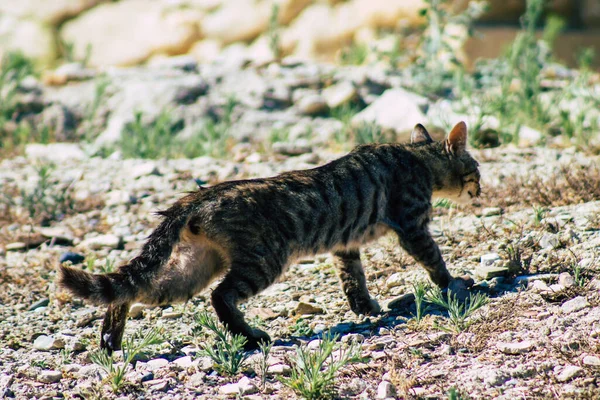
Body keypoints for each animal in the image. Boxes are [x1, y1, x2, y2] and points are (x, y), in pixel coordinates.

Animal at [59, 121, 482, 350]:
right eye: (477, 169)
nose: (481, 189)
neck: (418, 159)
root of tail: (197, 197)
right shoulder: (412, 225)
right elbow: (434, 259)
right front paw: (455, 284)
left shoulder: (346, 246)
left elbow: (353, 280)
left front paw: (365, 308)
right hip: (263, 260)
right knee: (221, 296)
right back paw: (250, 336)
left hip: (193, 269)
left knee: (132, 291)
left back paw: (110, 339)